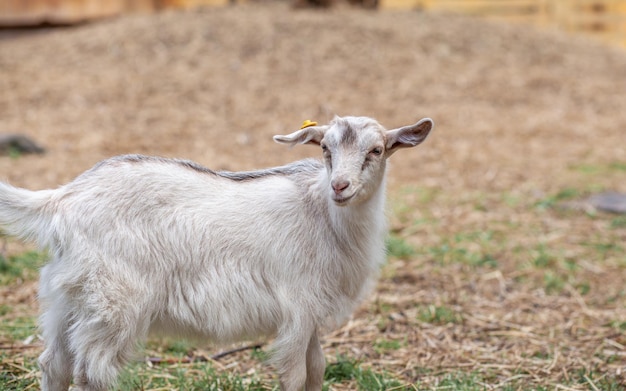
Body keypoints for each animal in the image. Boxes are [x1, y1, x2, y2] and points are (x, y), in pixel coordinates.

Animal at [0, 115, 432, 390]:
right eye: (325, 148)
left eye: (377, 150)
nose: (340, 186)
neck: (324, 216)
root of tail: (63, 198)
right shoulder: (297, 306)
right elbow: (294, 376)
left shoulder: (311, 316)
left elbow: (317, 371)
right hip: (113, 302)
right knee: (92, 373)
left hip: (68, 296)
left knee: (54, 365)